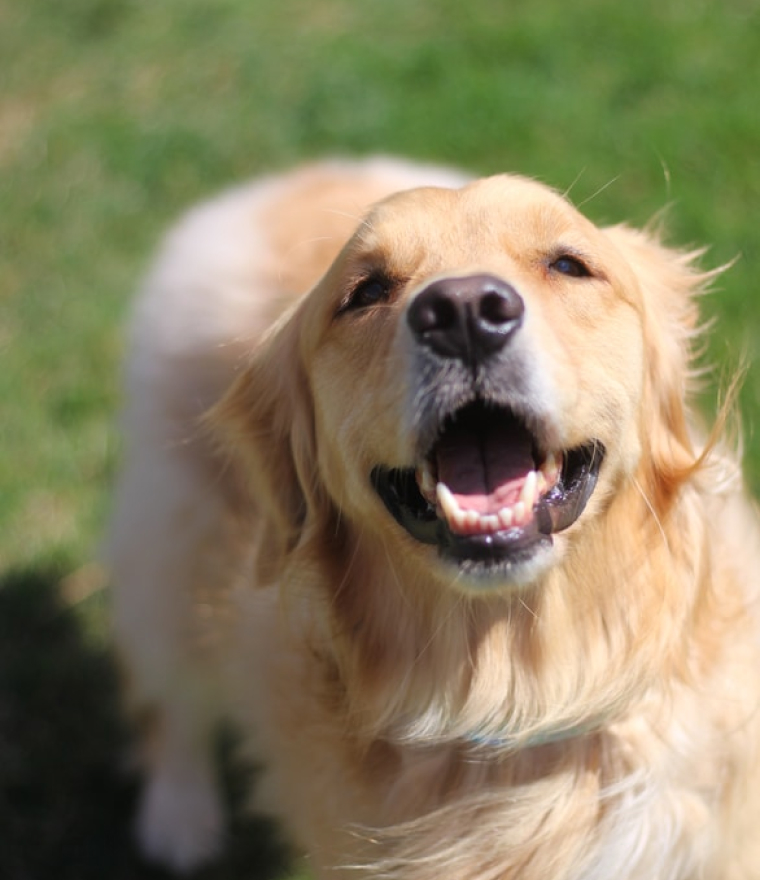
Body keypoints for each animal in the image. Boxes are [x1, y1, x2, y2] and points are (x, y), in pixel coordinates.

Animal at [107, 158, 760, 880]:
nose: (464, 311)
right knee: (169, 696)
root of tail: (299, 176)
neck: (518, 702)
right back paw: (179, 815)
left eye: (568, 264)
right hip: (178, 551)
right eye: (365, 290)